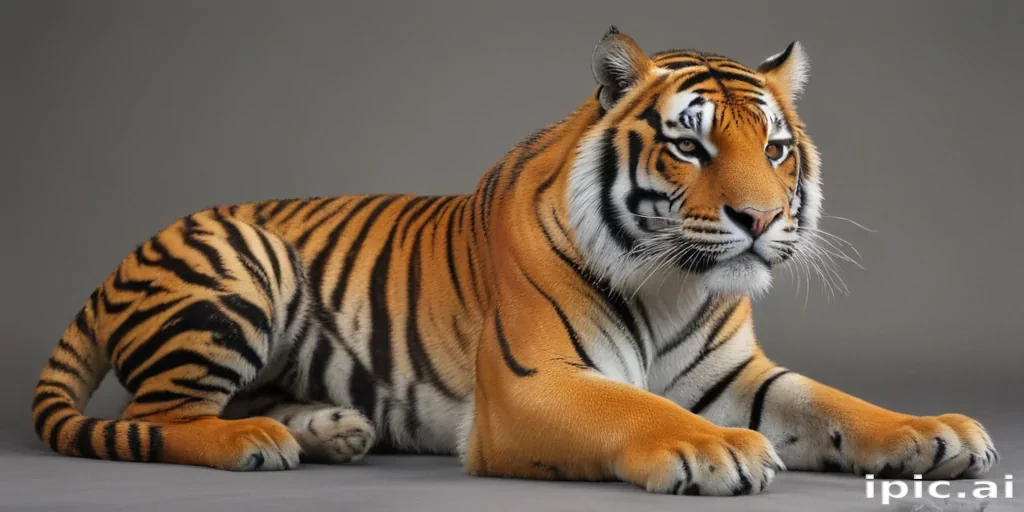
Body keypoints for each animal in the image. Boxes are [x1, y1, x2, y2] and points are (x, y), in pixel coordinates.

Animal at [31, 27, 998, 496]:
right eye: (689, 147)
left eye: (776, 148)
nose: (758, 218)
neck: (678, 288)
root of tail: (117, 264)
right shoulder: (534, 382)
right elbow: (636, 410)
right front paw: (717, 449)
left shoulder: (740, 375)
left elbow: (837, 405)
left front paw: (936, 433)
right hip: (244, 262)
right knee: (166, 416)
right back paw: (257, 445)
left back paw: (331, 429)